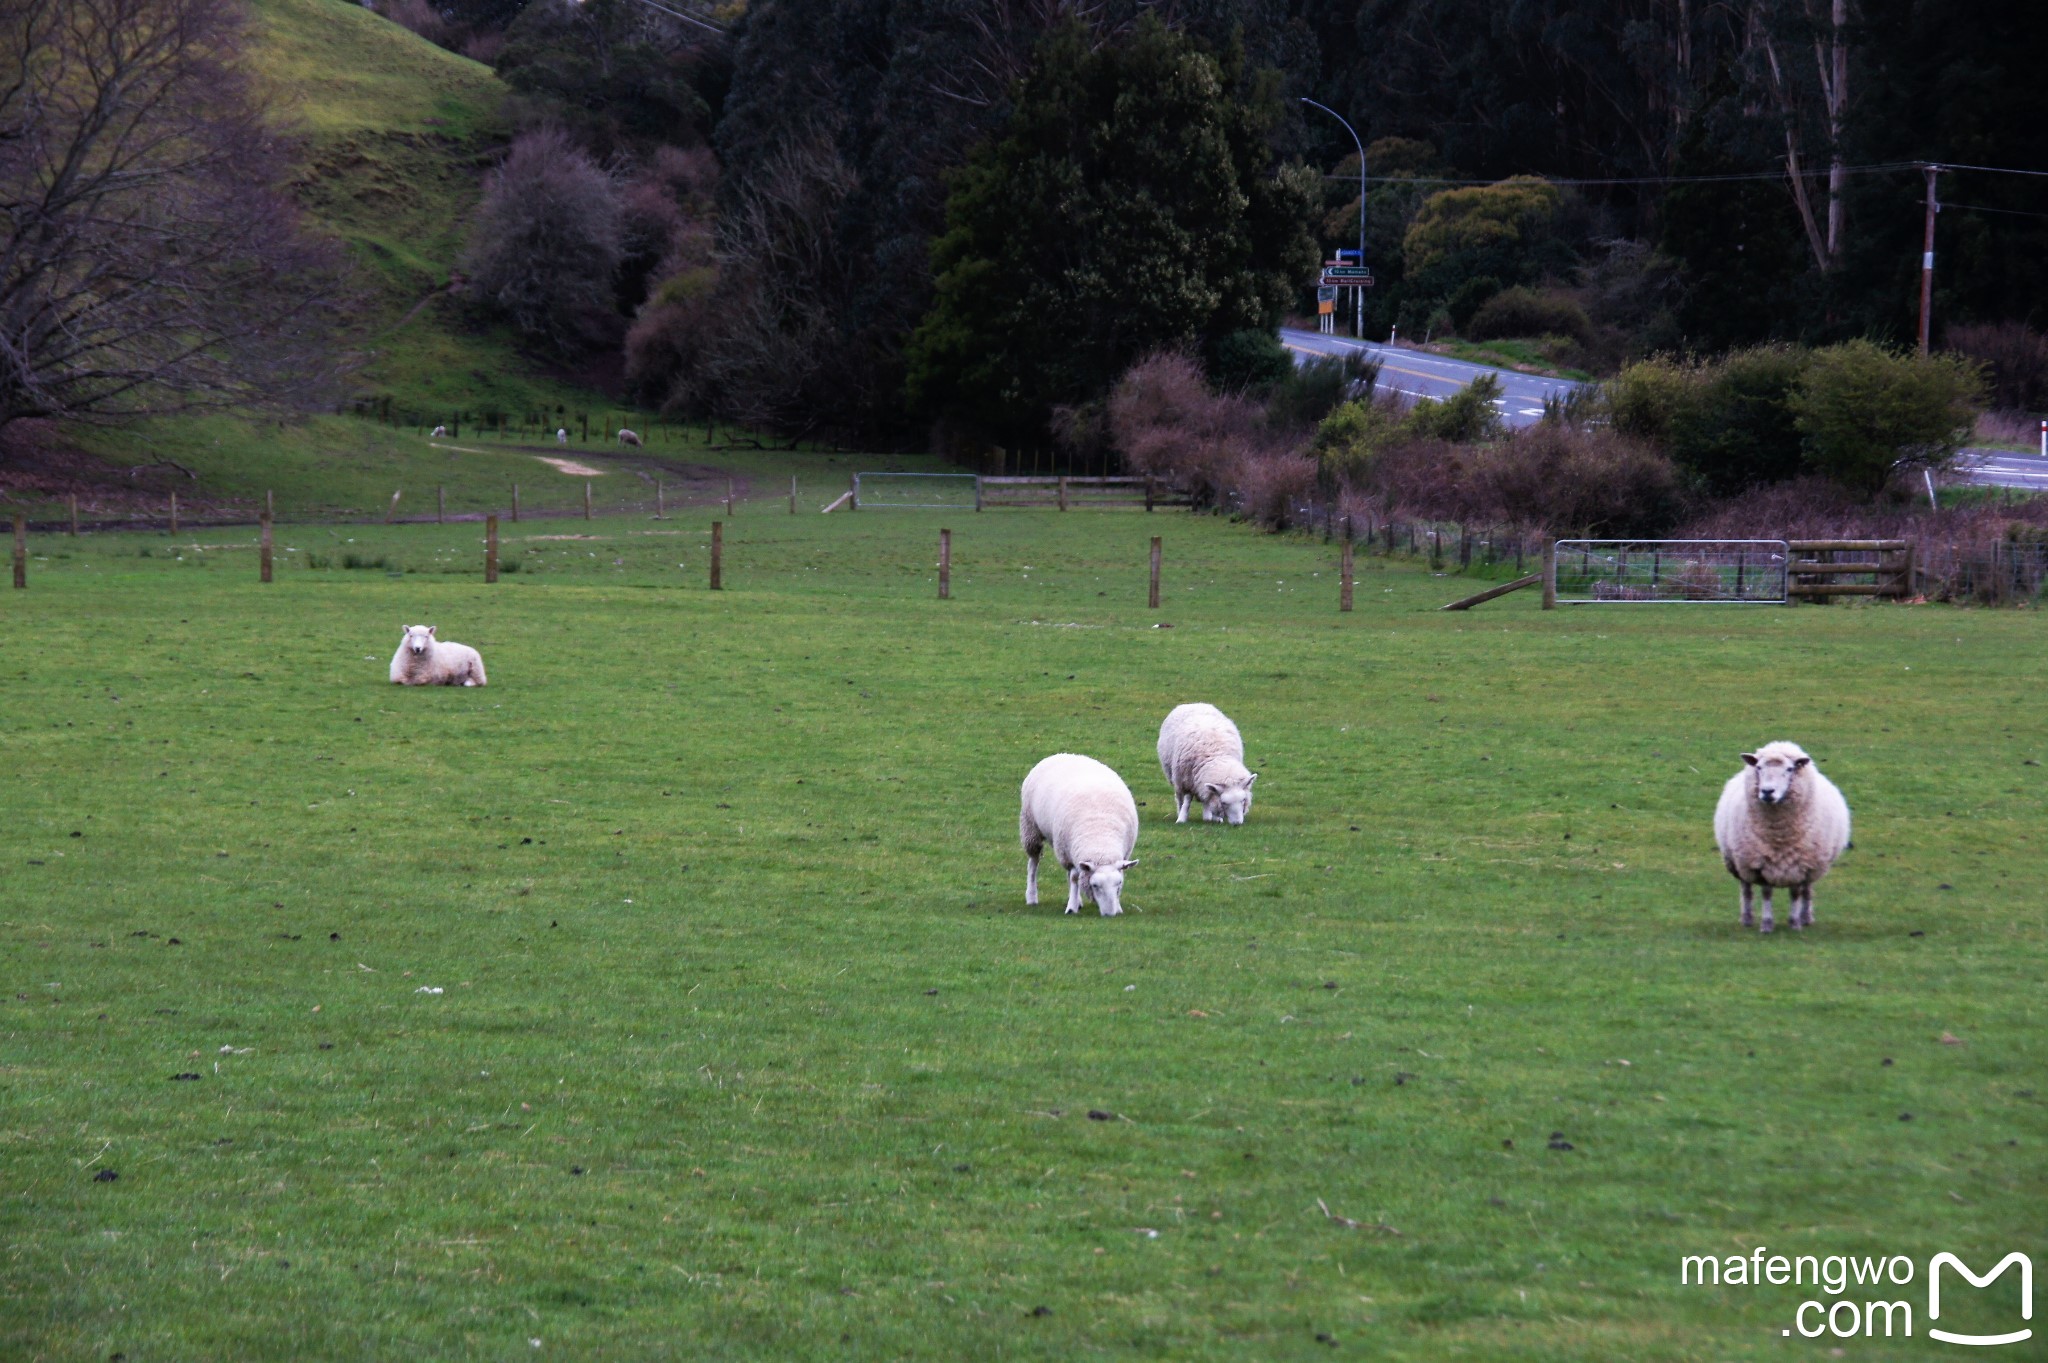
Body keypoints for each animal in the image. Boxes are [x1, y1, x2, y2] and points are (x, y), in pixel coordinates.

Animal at [1019, 753, 1146, 912]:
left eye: (1119, 884)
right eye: (1095, 885)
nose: (1110, 913)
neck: (1100, 838)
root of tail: (1064, 754)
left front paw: (1117, 907)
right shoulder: (1068, 855)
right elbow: (1074, 878)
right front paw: (1071, 908)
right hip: (1031, 827)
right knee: (1033, 863)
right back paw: (1031, 896)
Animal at [1712, 736, 1859, 929]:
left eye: (1789, 769)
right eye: (1759, 767)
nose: (1767, 791)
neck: (1779, 835)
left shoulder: (1801, 864)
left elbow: (1796, 893)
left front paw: (1795, 923)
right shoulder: (1761, 863)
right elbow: (1766, 892)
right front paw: (1767, 924)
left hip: (1813, 866)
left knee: (1807, 890)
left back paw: (1806, 917)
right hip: (1739, 861)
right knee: (1746, 889)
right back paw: (1747, 919)